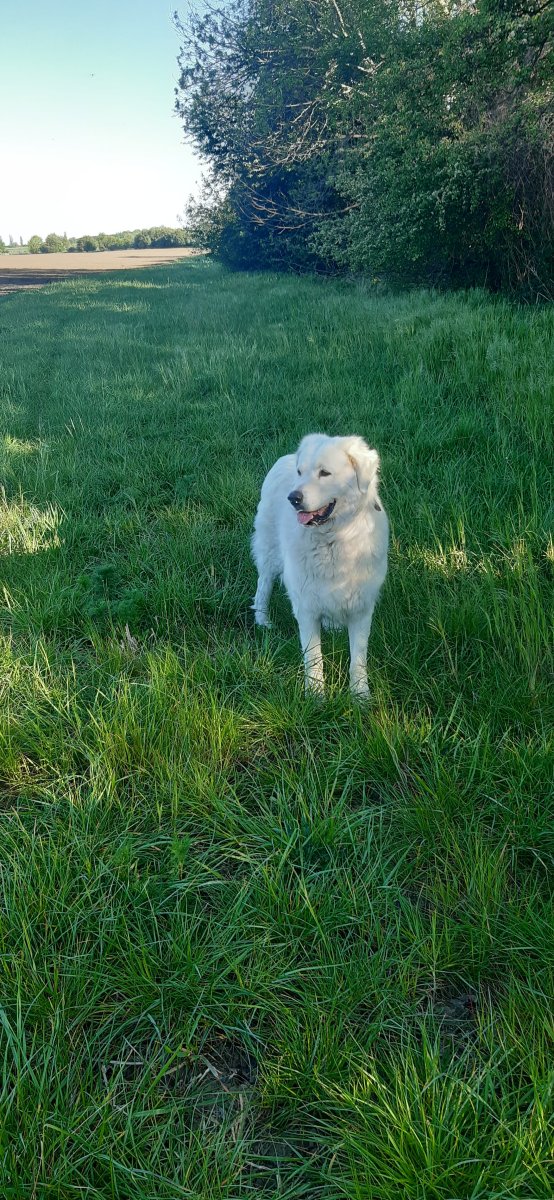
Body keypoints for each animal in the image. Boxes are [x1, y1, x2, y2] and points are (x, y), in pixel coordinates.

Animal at [252, 433, 388, 697]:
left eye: (325, 473)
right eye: (300, 472)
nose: (293, 498)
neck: (334, 539)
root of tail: (285, 457)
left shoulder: (361, 607)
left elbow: (358, 658)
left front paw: (360, 696)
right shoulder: (305, 607)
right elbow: (314, 658)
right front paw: (316, 696)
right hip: (269, 552)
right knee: (263, 584)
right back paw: (263, 621)